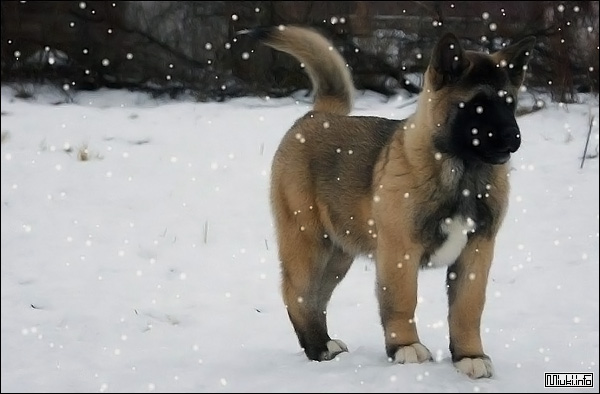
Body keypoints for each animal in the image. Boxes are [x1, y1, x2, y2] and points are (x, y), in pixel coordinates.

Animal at [247, 23, 536, 378]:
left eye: (509, 103)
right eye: (477, 105)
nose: (513, 137)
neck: (462, 173)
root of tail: (319, 114)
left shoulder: (477, 250)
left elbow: (468, 307)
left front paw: (469, 355)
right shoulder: (400, 251)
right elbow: (402, 300)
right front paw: (406, 347)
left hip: (339, 251)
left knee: (318, 297)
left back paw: (326, 343)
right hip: (307, 239)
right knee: (298, 293)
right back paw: (318, 348)